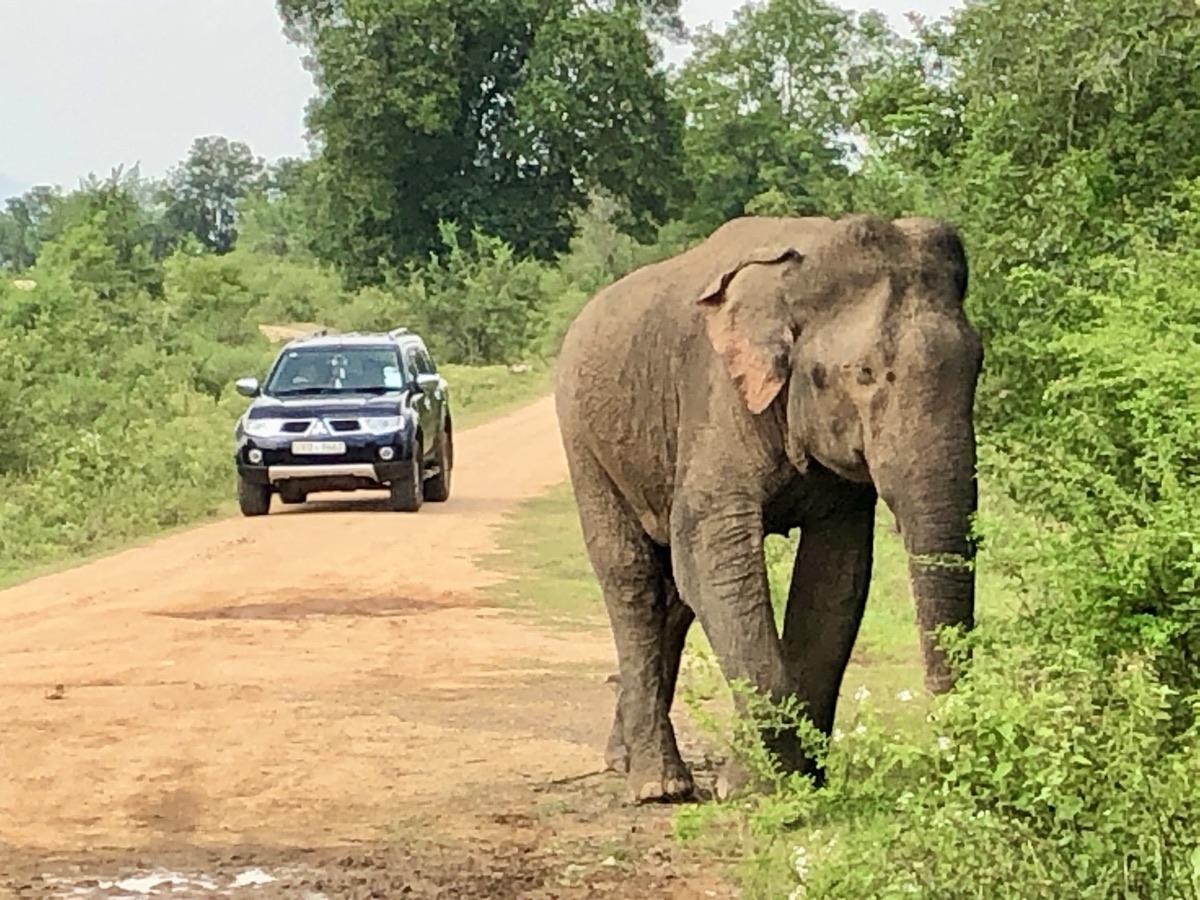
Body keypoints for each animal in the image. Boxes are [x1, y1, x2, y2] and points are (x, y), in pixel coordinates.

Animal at [553, 213, 983, 803]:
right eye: (865, 373)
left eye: (978, 367)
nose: (946, 741)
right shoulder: (718, 394)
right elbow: (713, 551)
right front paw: (754, 788)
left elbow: (836, 576)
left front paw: (798, 779)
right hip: (583, 439)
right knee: (631, 578)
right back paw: (658, 785)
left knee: (674, 597)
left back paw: (623, 760)